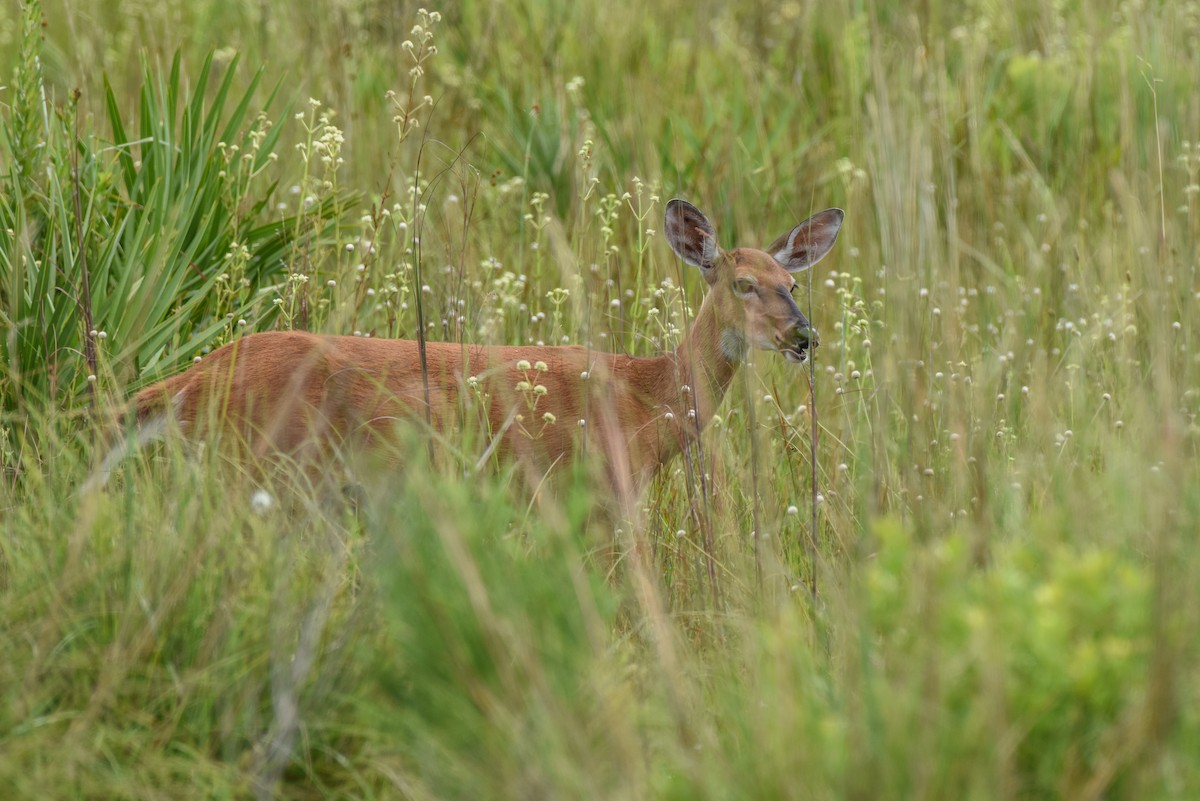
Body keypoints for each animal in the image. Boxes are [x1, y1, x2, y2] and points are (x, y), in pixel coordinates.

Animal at [84, 200, 844, 499]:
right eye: (743, 283)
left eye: (792, 282)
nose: (803, 336)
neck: (644, 397)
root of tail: (189, 381)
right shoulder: (588, 487)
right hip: (263, 465)